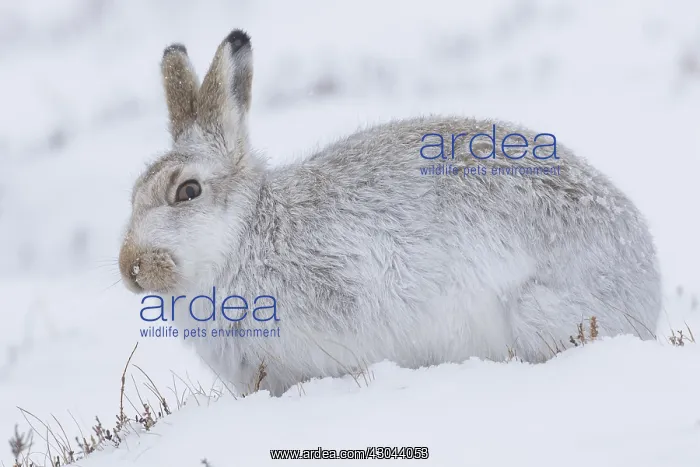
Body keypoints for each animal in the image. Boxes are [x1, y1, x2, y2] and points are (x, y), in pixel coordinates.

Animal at [119, 29, 662, 397]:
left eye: (188, 191)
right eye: (133, 193)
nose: (130, 268)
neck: (245, 235)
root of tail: (646, 280)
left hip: (538, 313)